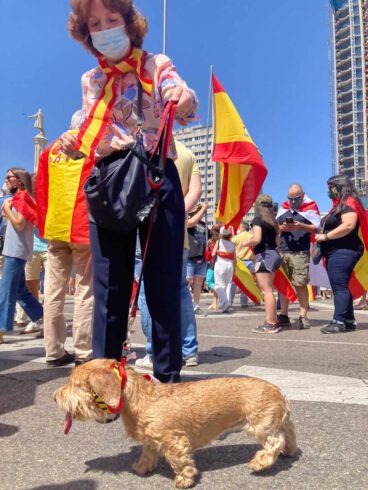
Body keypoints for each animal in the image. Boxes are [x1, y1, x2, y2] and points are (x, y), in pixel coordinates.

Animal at [54, 358, 296, 488]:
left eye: (75, 383)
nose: (55, 397)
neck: (141, 398)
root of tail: (279, 390)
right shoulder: (151, 440)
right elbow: (147, 454)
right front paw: (142, 468)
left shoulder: (175, 441)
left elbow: (181, 461)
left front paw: (185, 480)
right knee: (289, 434)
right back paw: (289, 451)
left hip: (260, 425)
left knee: (275, 442)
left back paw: (260, 463)